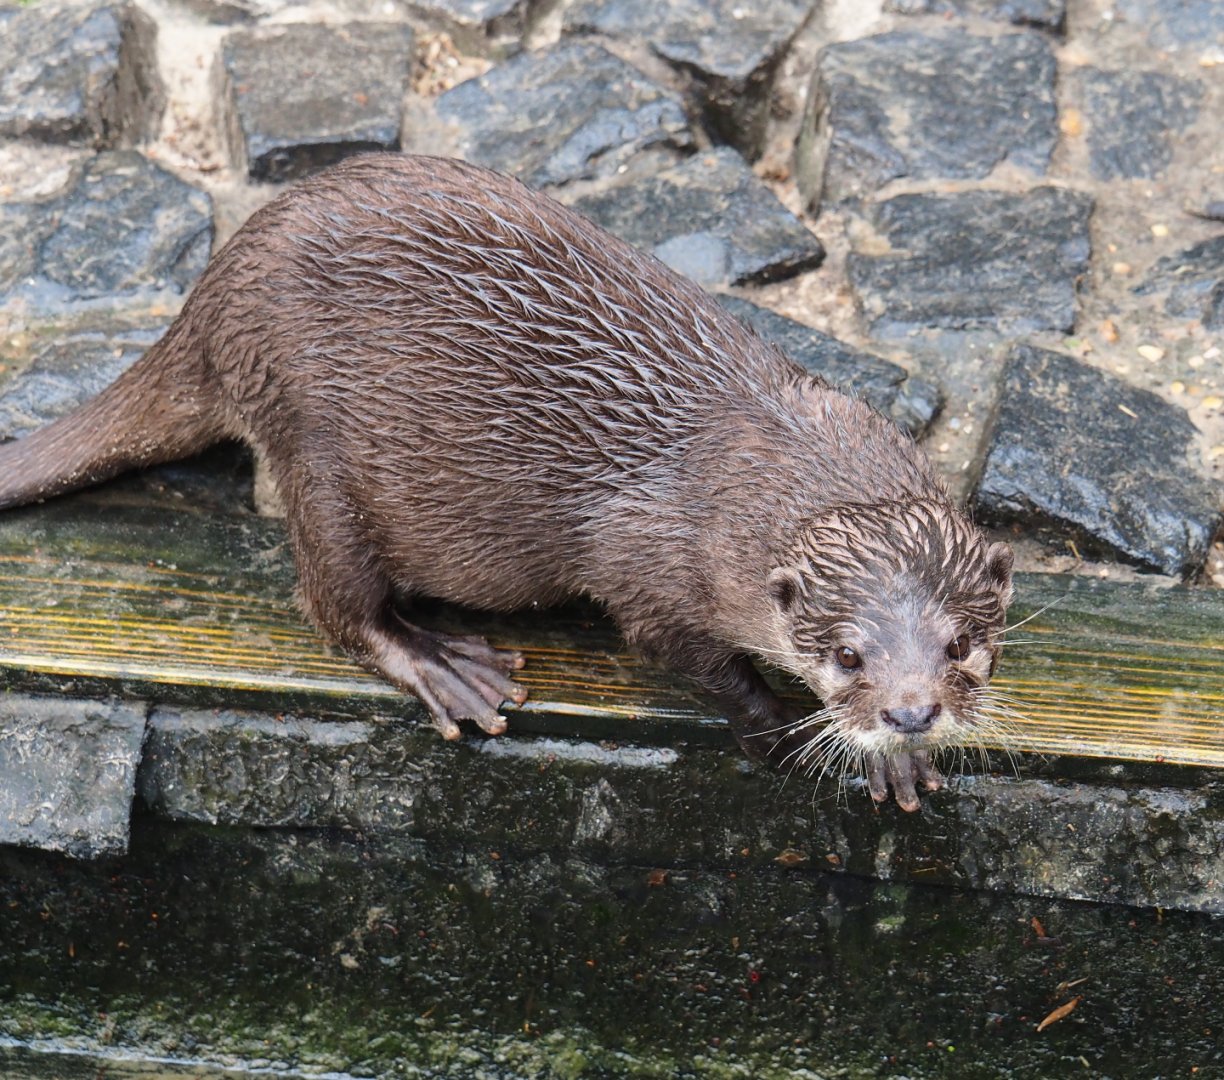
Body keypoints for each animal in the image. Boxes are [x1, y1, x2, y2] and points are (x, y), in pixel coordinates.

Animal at [0, 153, 1014, 811]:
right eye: (845, 655)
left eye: (962, 644)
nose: (911, 710)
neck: (762, 461)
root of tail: (215, 289)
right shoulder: (649, 568)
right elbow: (690, 659)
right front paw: (780, 725)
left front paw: (889, 759)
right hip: (312, 440)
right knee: (332, 600)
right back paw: (449, 667)